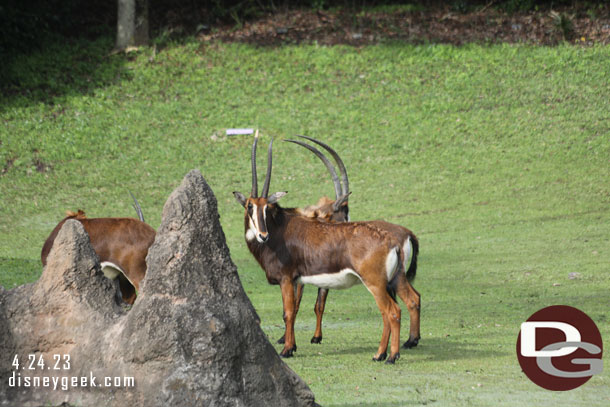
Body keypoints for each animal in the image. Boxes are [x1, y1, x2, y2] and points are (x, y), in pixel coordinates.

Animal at [278, 137, 420, 350]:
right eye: (339, 215)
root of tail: (407, 232)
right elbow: (318, 304)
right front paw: (315, 337)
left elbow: (296, 304)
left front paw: (287, 339)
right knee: (413, 298)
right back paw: (411, 340)